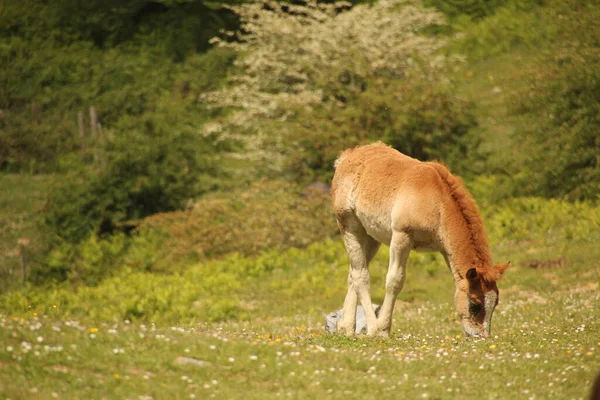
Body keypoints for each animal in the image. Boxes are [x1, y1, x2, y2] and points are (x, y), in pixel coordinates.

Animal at [330, 144, 508, 338]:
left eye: (495, 303)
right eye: (475, 304)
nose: (481, 337)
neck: (437, 203)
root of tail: (348, 156)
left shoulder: (445, 250)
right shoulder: (401, 237)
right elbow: (395, 280)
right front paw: (383, 329)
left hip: (371, 236)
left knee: (354, 272)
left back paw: (345, 327)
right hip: (349, 226)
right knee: (361, 275)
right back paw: (371, 327)